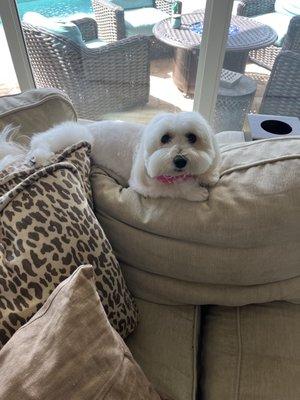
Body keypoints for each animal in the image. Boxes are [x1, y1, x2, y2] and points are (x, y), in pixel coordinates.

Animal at [1, 111, 220, 202]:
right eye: (164, 138)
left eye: (192, 137)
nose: (180, 160)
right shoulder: (144, 184)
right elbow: (173, 187)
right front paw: (194, 191)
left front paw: (207, 176)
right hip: (78, 135)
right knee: (41, 140)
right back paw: (39, 157)